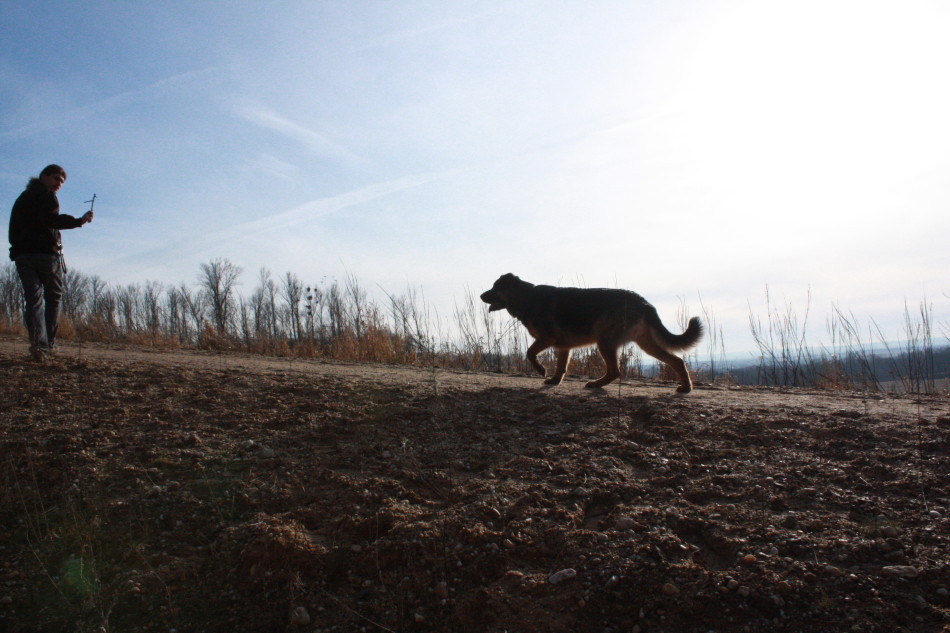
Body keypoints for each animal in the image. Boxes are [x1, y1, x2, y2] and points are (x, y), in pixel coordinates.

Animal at [480, 274, 704, 392]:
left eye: (494, 288)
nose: (481, 295)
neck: (525, 297)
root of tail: (644, 302)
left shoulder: (548, 338)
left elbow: (530, 353)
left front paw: (541, 370)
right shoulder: (564, 347)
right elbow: (561, 368)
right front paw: (554, 381)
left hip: (604, 340)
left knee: (615, 371)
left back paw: (596, 384)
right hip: (645, 344)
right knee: (677, 360)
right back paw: (686, 387)